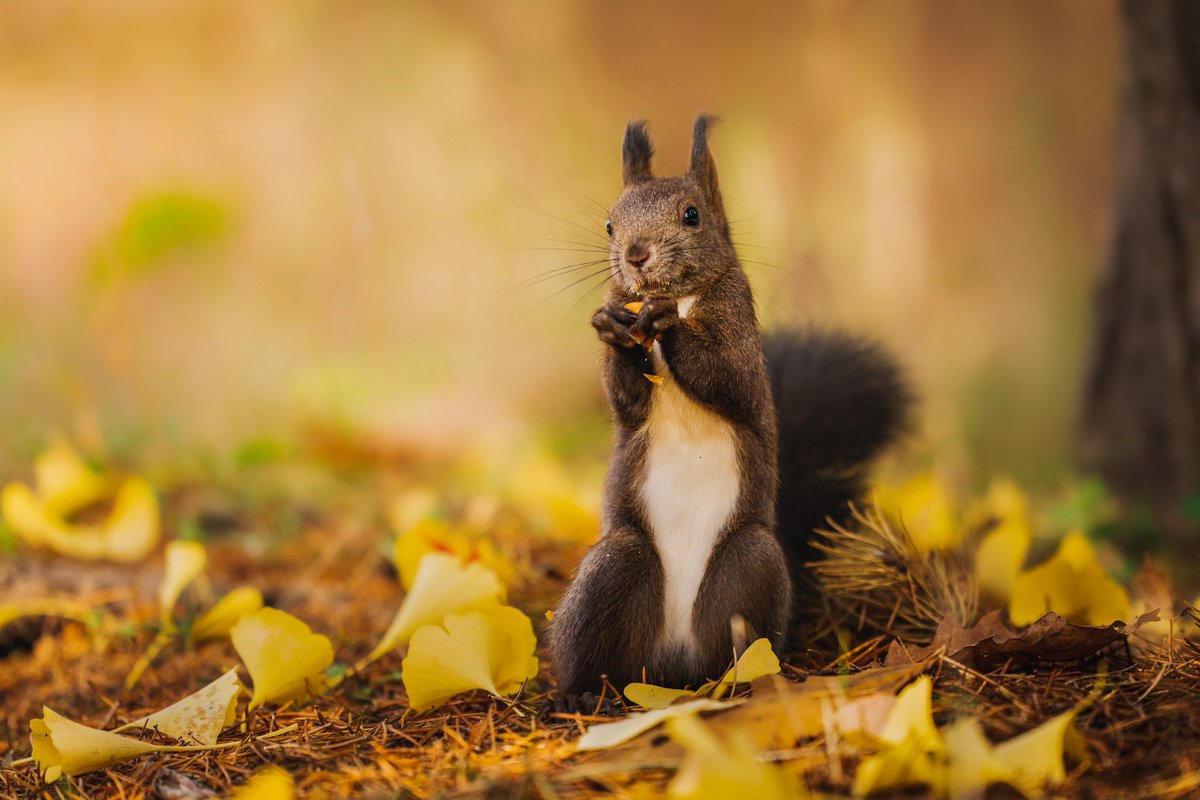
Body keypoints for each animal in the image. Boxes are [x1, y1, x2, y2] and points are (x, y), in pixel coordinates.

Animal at [547, 115, 907, 705]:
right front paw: (614, 329)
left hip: (749, 564)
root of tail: (673, 666)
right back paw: (579, 692)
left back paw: (738, 683)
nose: (636, 254)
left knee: (740, 634)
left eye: (692, 215)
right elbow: (627, 402)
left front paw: (667, 322)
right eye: (608, 225)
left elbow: (726, 377)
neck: (678, 297)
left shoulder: (741, 341)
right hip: (618, 564)